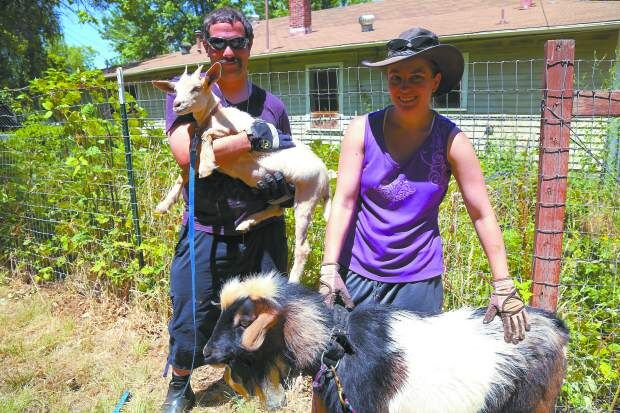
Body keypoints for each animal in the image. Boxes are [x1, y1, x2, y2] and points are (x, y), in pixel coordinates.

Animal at [153, 64, 332, 282]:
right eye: (175, 90)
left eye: (197, 88)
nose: (177, 105)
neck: (213, 114)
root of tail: (326, 177)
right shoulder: (192, 155)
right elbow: (183, 174)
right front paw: (164, 205)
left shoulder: (234, 132)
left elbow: (208, 136)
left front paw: (206, 166)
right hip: (280, 191)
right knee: (277, 209)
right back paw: (246, 222)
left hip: (306, 197)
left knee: (303, 248)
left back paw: (293, 279)